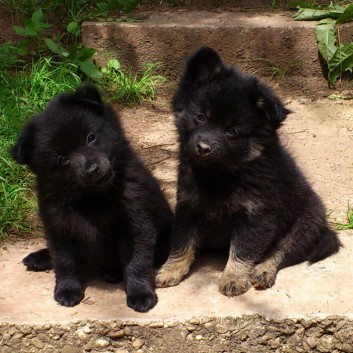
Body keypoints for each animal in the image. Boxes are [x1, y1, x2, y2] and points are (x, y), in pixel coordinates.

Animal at [10, 85, 170, 310]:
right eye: (62, 159)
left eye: (91, 137)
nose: (92, 170)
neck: (92, 198)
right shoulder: (57, 226)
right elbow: (64, 260)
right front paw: (67, 289)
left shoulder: (136, 222)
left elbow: (137, 262)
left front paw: (140, 293)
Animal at [155, 46, 340, 294]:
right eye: (200, 117)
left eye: (231, 131)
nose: (203, 148)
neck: (220, 174)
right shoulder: (188, 207)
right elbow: (182, 243)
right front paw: (171, 270)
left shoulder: (258, 217)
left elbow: (243, 249)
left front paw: (233, 278)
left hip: (305, 223)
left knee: (282, 251)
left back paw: (263, 271)